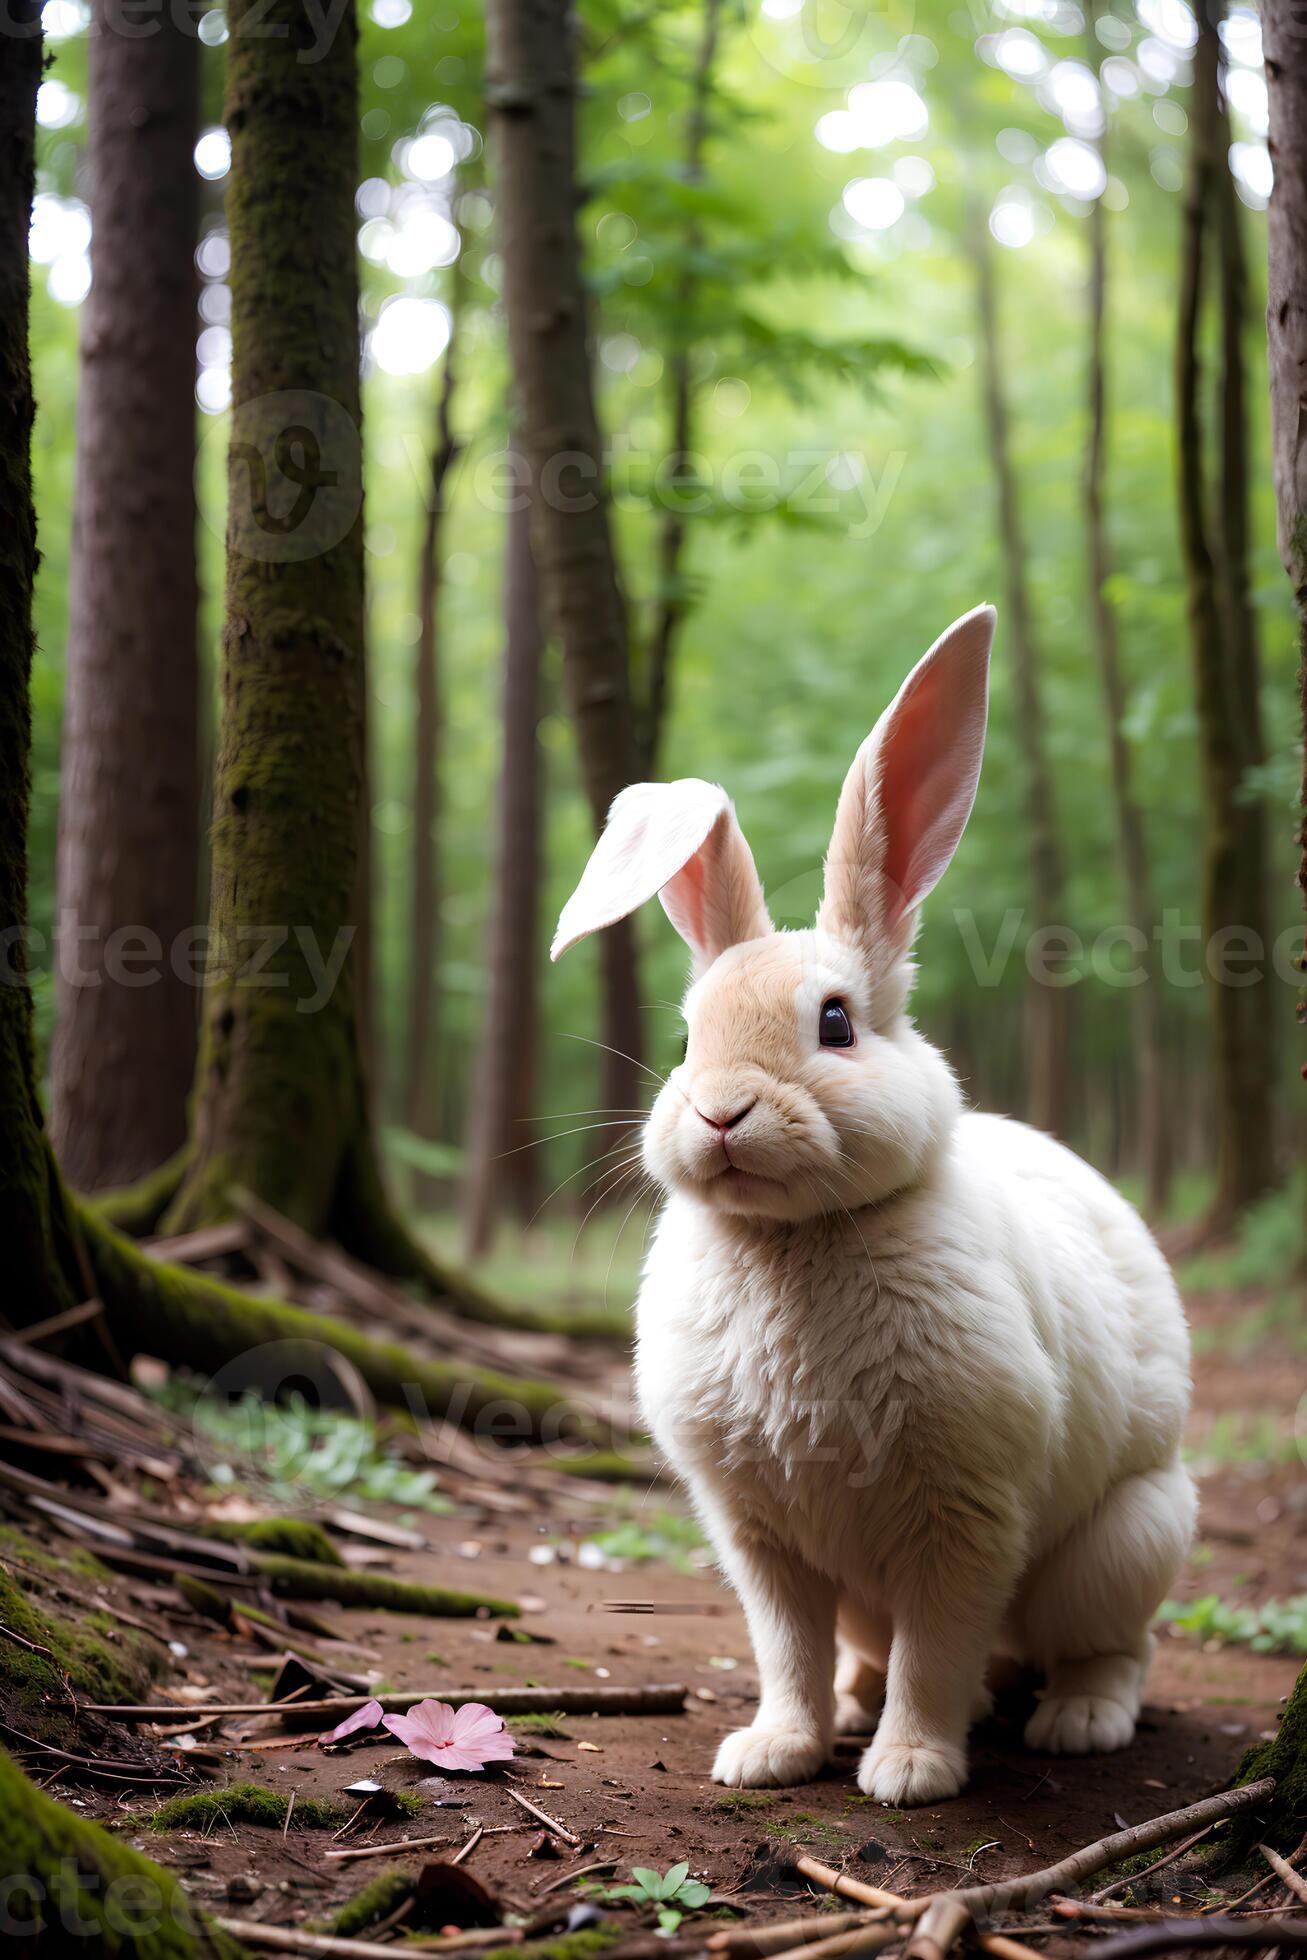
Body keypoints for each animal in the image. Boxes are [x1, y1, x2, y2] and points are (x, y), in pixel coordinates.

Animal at [551, 604, 1195, 1806]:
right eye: (687, 1033)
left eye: (836, 1023)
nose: (718, 1112)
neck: (791, 1238)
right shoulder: (757, 1537)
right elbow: (784, 1648)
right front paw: (769, 1754)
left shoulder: (963, 1516)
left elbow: (934, 1651)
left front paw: (908, 1772)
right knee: (871, 1649)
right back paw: (860, 1709)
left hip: (1122, 1541)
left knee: (1103, 1646)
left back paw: (1073, 1722)